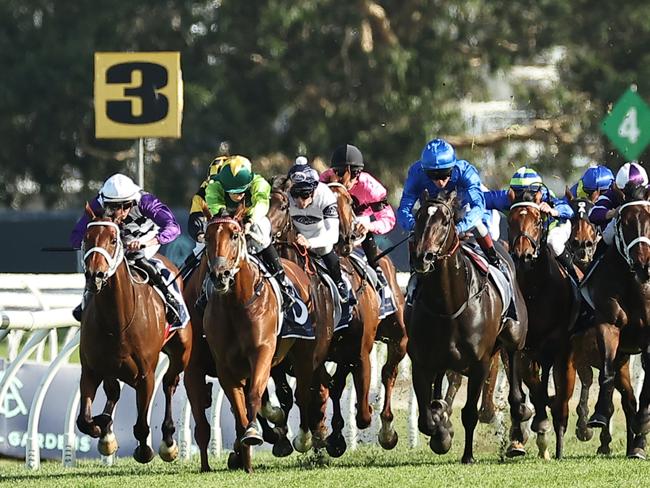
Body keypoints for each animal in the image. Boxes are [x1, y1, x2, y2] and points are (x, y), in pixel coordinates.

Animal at [76, 204, 191, 464]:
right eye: (86, 238)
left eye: (113, 239)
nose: (95, 275)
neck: (117, 321)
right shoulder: (91, 369)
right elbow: (84, 420)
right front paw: (100, 427)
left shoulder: (146, 376)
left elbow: (140, 425)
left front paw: (145, 450)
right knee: (114, 392)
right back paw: (107, 433)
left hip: (182, 351)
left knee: (169, 383)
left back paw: (168, 441)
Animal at [200, 204, 332, 470]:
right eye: (207, 238)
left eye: (234, 235)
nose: (220, 275)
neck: (236, 304)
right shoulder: (225, 365)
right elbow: (238, 404)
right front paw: (245, 452)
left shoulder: (262, 351)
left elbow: (254, 395)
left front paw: (253, 433)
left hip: (304, 354)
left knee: (303, 392)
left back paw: (304, 438)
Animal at [408, 192, 528, 466]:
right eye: (418, 217)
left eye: (445, 221)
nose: (423, 257)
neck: (448, 305)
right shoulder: (420, 362)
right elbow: (426, 418)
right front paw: (442, 434)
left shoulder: (479, 363)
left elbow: (470, 413)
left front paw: (468, 455)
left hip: (514, 339)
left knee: (515, 390)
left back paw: (518, 430)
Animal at [506, 188, 576, 458]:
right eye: (510, 221)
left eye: (538, 221)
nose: (523, 256)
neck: (534, 289)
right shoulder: (521, 342)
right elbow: (527, 384)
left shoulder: (554, 340)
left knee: (562, 401)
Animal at [580, 189, 650, 460]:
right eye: (625, 223)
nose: (643, 264)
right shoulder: (609, 325)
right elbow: (607, 371)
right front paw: (599, 414)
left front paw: (643, 425)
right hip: (623, 356)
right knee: (628, 400)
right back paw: (632, 444)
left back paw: (638, 442)